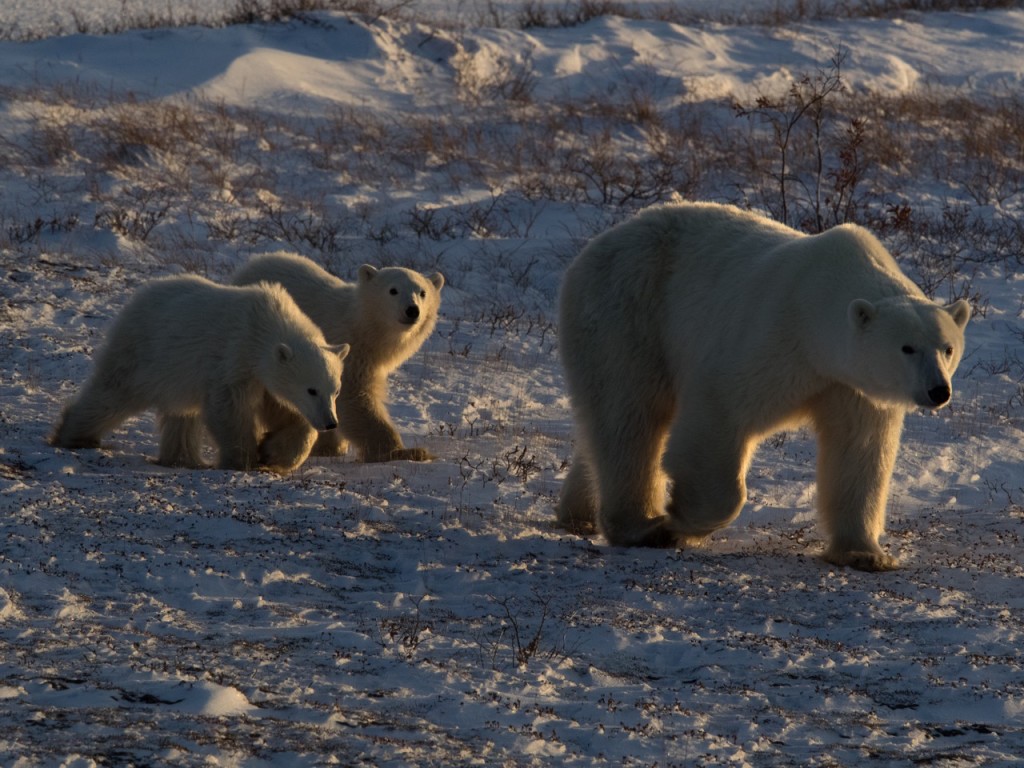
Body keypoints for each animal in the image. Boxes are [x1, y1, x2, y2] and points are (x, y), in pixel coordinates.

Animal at [52, 274, 349, 473]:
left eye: (335, 391)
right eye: (311, 389)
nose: (331, 423)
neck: (264, 325)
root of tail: (140, 296)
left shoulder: (263, 377)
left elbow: (287, 413)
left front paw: (272, 453)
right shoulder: (235, 357)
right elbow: (229, 408)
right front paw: (244, 458)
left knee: (182, 414)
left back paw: (183, 458)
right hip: (144, 351)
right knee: (113, 392)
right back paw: (76, 436)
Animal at [230, 252, 444, 462]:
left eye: (423, 292)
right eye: (393, 290)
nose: (412, 310)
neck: (364, 327)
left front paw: (329, 446)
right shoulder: (349, 351)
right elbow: (353, 398)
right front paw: (405, 452)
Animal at [556, 202, 970, 572]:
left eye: (947, 348)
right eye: (907, 347)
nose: (939, 391)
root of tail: (600, 243)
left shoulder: (849, 384)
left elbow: (860, 451)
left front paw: (865, 554)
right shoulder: (773, 339)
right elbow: (718, 413)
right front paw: (678, 520)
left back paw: (578, 511)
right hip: (630, 309)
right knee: (630, 416)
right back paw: (640, 526)